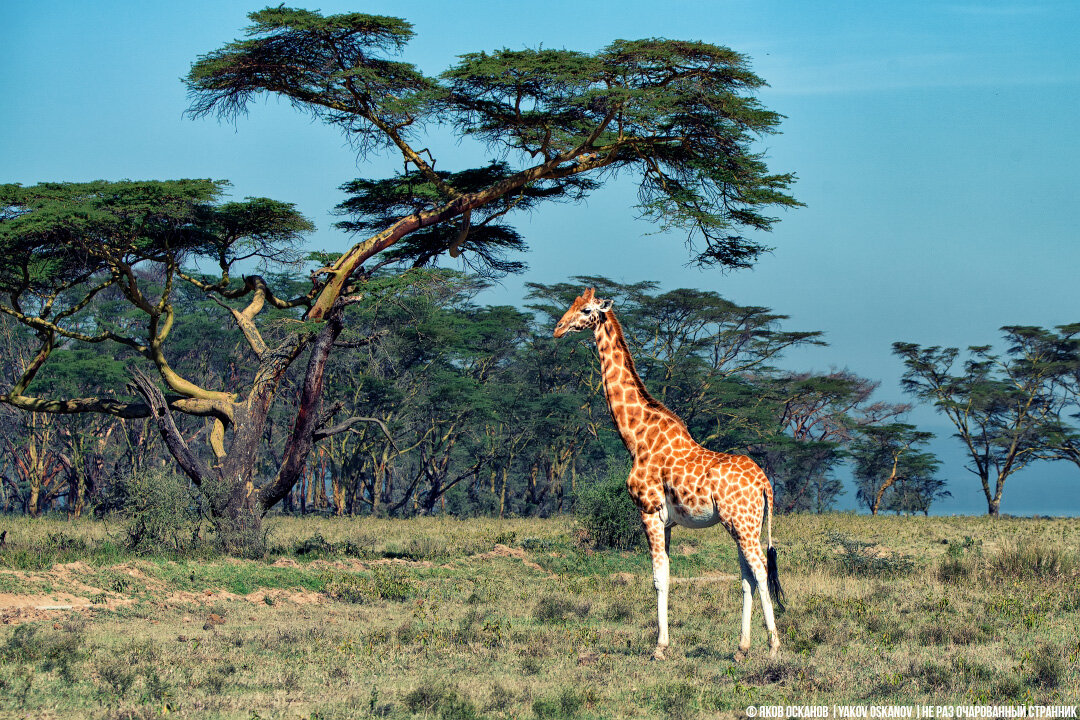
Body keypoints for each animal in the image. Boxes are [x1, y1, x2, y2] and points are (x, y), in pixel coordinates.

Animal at [557, 284, 786, 660]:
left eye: (586, 309)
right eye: (571, 304)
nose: (558, 328)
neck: (635, 436)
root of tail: (765, 482)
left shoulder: (648, 510)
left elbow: (658, 577)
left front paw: (659, 647)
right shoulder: (666, 521)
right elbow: (666, 575)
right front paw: (663, 643)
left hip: (743, 523)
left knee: (761, 572)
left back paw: (773, 646)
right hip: (744, 525)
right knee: (748, 578)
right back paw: (741, 648)